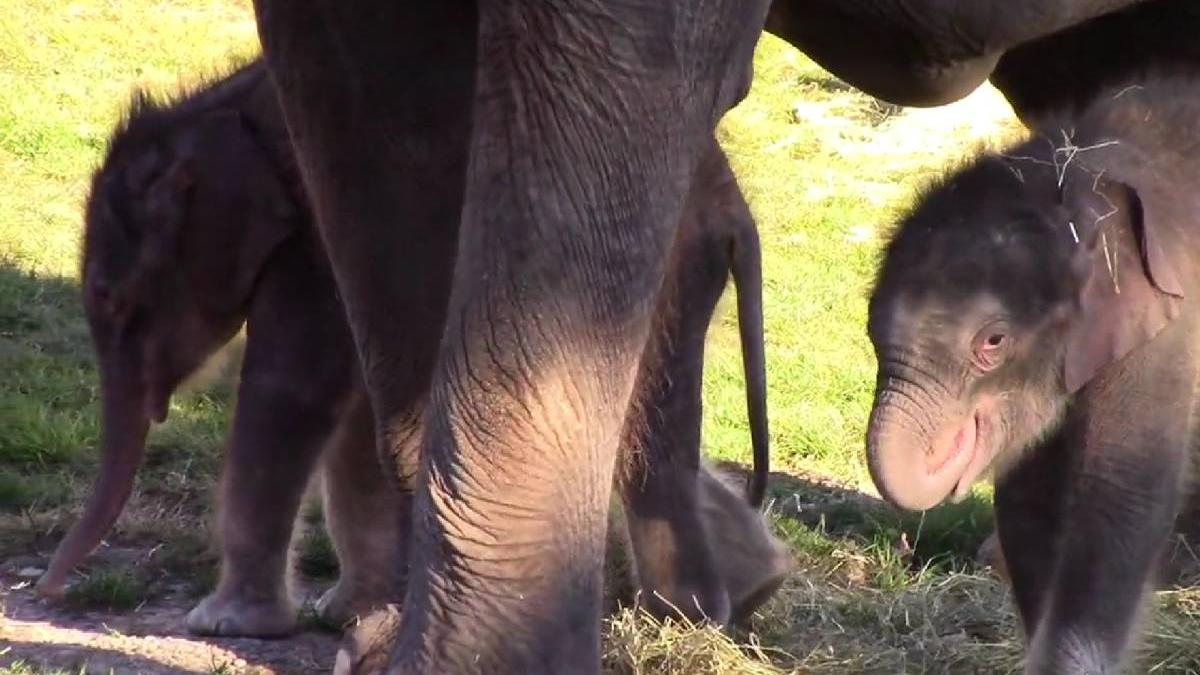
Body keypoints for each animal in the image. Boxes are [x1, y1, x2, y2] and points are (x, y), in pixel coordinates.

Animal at [47, 58, 789, 637]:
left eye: (109, 296)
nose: (48, 590)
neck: (221, 108)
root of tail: (733, 203)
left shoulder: (316, 240)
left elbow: (293, 390)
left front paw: (225, 625)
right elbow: (354, 409)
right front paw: (346, 610)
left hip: (647, 273)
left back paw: (684, 615)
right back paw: (754, 589)